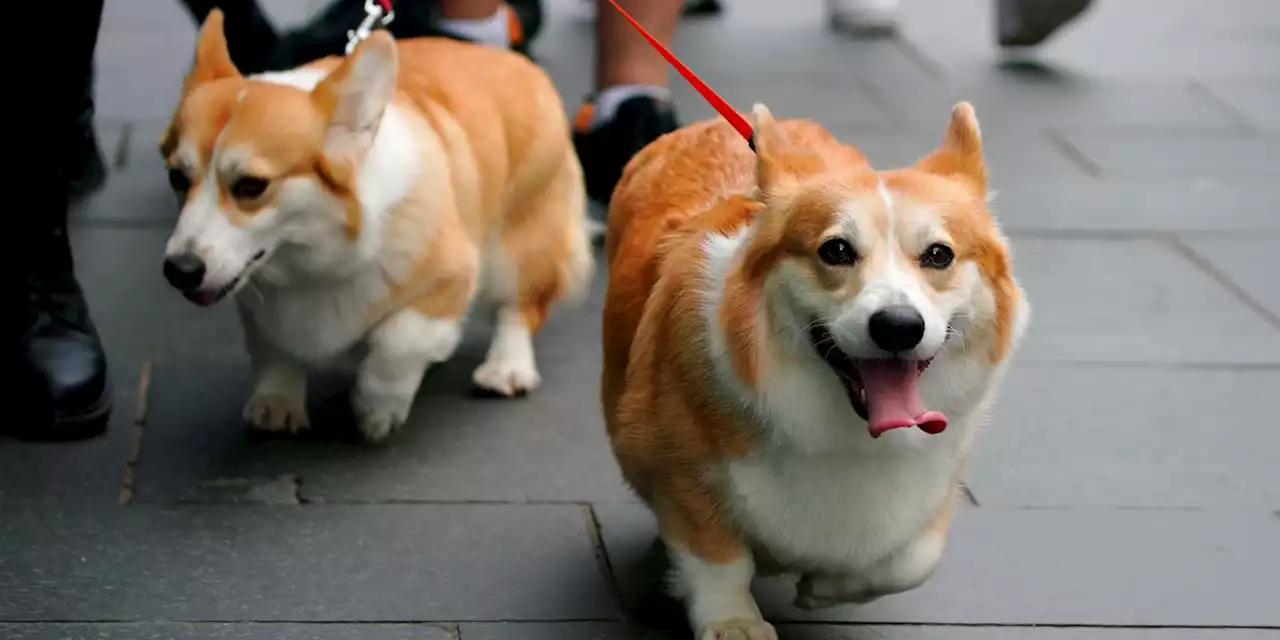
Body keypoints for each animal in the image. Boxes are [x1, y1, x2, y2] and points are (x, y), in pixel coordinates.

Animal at [160, 15, 593, 442]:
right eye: (177, 177)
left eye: (251, 186)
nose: (179, 271)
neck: (311, 262)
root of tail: (517, 62)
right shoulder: (257, 304)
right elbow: (272, 348)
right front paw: (276, 402)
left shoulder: (450, 275)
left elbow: (398, 340)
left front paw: (377, 408)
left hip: (519, 244)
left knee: (520, 306)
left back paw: (506, 367)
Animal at [599, 102, 1029, 637]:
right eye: (836, 250)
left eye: (939, 255)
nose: (898, 327)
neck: (849, 434)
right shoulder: (681, 468)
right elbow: (718, 559)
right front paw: (734, 622)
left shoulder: (937, 482)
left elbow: (913, 561)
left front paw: (827, 587)